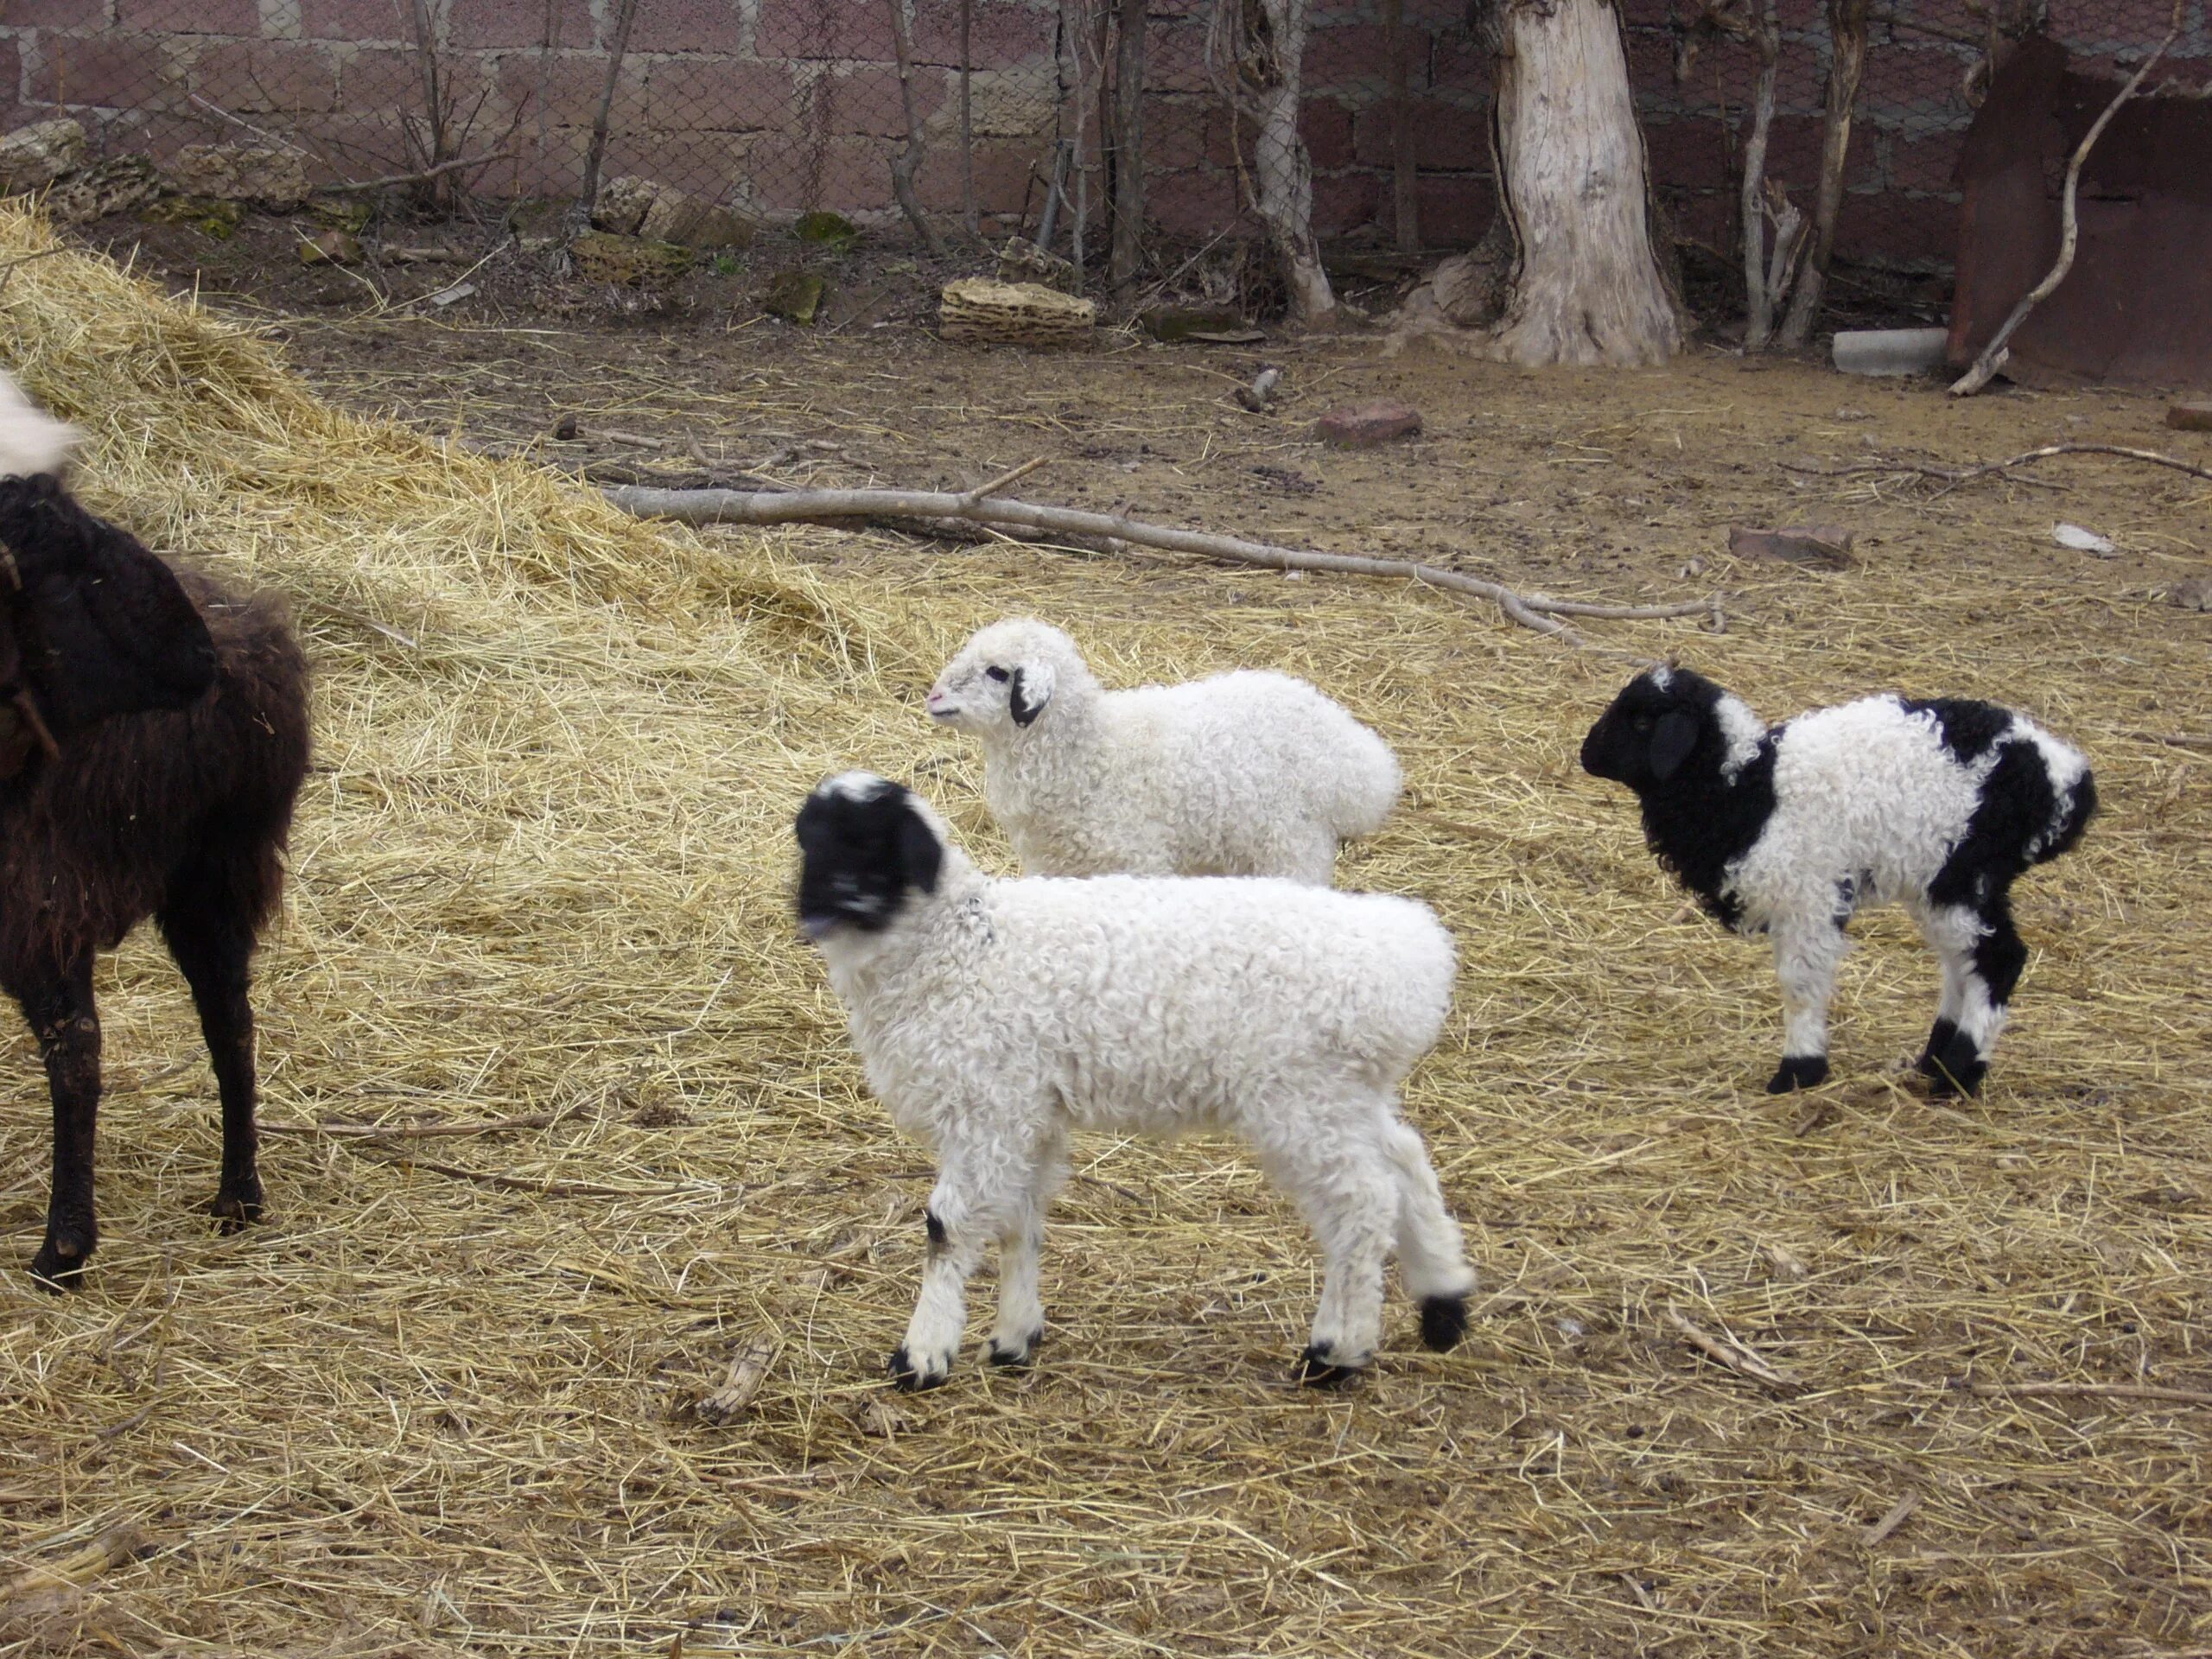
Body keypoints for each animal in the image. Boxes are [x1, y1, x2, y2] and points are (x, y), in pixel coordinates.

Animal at [0, 369, 311, 1292]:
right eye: (80, 573)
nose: (198, 657)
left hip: (47, 877)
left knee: (77, 1052)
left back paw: (63, 1251)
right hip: (218, 867)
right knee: (231, 1017)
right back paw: (238, 1196)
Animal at [787, 774, 1478, 1397]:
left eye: (863, 844)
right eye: (810, 839)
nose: (810, 912)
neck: (959, 949)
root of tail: (1405, 966)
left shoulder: (989, 1108)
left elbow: (946, 1228)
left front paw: (921, 1356)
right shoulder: (1029, 1113)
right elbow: (1019, 1220)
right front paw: (1014, 1338)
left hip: (1301, 1098)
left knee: (1361, 1205)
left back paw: (1337, 1351)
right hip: (1347, 1094)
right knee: (1405, 1164)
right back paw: (1444, 1304)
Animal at [1583, 664, 2096, 1106]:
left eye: (1643, 721)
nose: (1586, 754)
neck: (1747, 792)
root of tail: (2065, 778)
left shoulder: (1808, 897)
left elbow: (1800, 984)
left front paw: (1799, 1071)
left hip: (1963, 871)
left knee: (1997, 960)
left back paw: (1957, 1075)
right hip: (1938, 881)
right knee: (1960, 963)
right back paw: (1935, 1060)